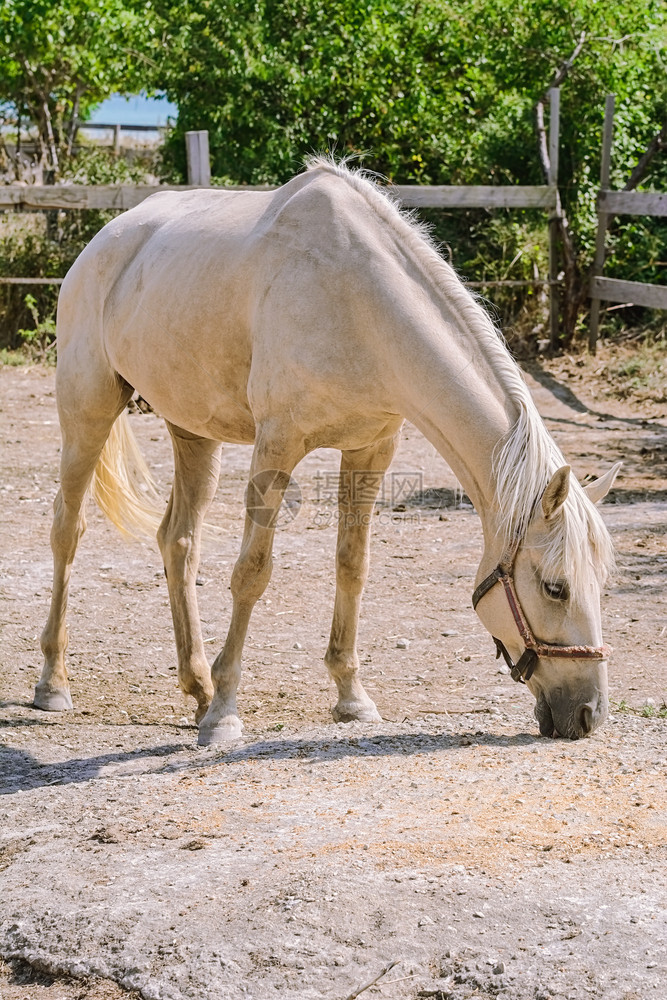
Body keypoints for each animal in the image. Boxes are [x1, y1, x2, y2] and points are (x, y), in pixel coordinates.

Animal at [35, 158, 620, 744]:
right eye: (555, 588)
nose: (587, 714)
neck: (358, 302)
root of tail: (104, 241)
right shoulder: (277, 447)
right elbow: (252, 573)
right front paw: (225, 713)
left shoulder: (370, 450)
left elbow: (351, 566)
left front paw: (350, 696)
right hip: (88, 411)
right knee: (67, 528)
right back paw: (55, 683)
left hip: (193, 432)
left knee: (178, 542)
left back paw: (196, 687)